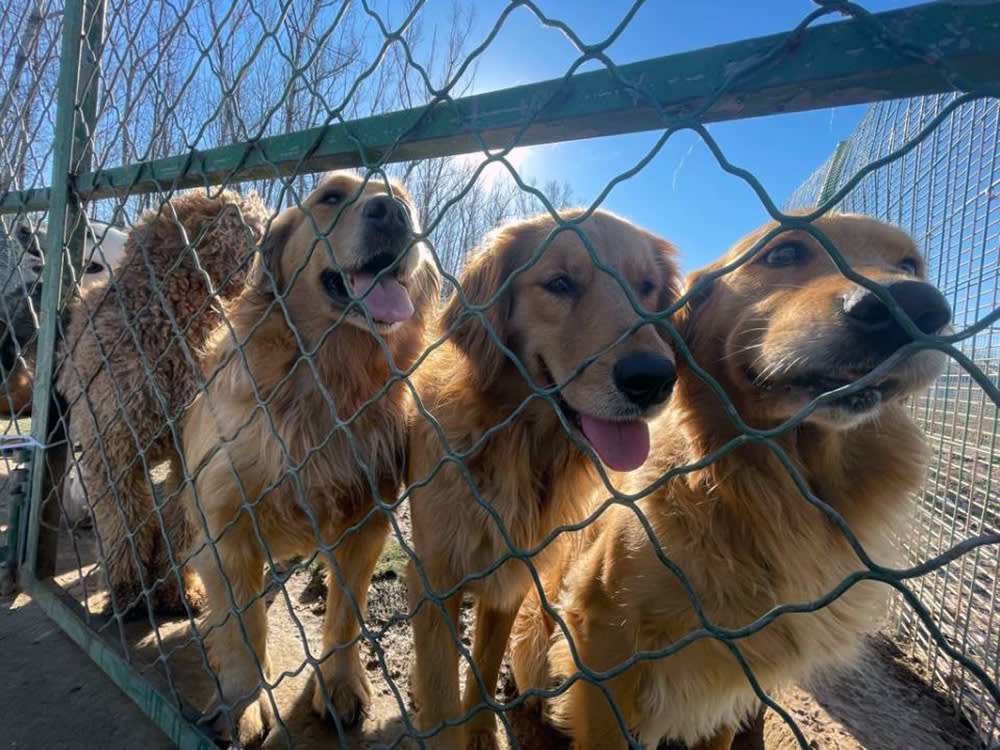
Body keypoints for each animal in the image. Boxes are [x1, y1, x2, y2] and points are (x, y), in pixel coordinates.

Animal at [57, 188, 270, 616]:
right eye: (259, 230)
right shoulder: (114, 451)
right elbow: (122, 524)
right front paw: (128, 590)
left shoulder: (192, 455)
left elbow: (180, 527)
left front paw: (176, 590)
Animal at [182, 172, 440, 748]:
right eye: (330, 197)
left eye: (406, 200)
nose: (393, 213)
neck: (328, 382)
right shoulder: (225, 521)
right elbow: (242, 627)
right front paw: (242, 701)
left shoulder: (367, 521)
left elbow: (345, 612)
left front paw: (340, 684)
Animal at [406, 210, 680, 750]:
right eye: (559, 283)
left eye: (646, 288)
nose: (654, 378)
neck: (517, 445)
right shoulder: (436, 579)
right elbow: (441, 688)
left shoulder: (512, 577)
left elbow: (485, 667)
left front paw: (479, 733)